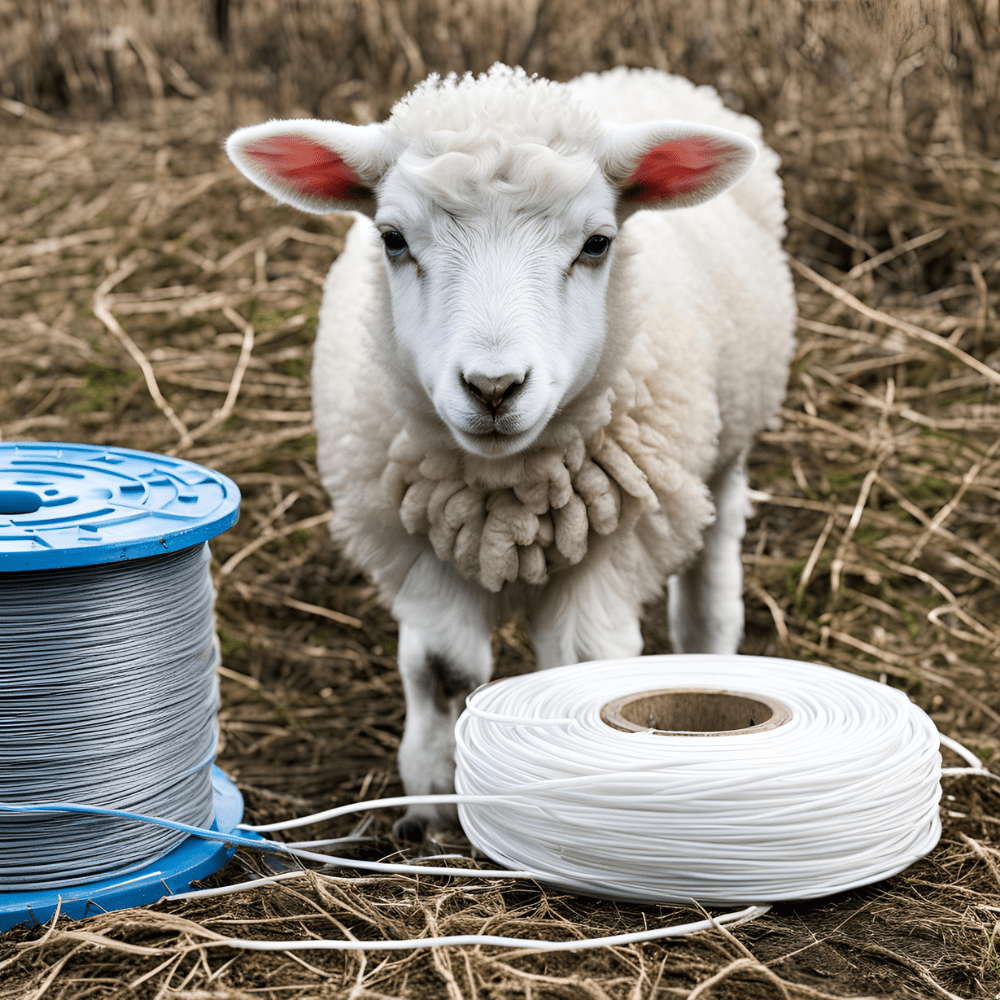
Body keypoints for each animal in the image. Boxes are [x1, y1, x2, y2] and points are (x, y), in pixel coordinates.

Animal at [227, 64, 796, 839]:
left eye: (597, 243)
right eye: (392, 238)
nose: (493, 388)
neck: (507, 501)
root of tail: (635, 74)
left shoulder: (615, 542)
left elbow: (585, 664)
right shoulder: (417, 542)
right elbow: (444, 670)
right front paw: (434, 804)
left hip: (727, 438)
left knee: (713, 555)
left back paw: (709, 642)